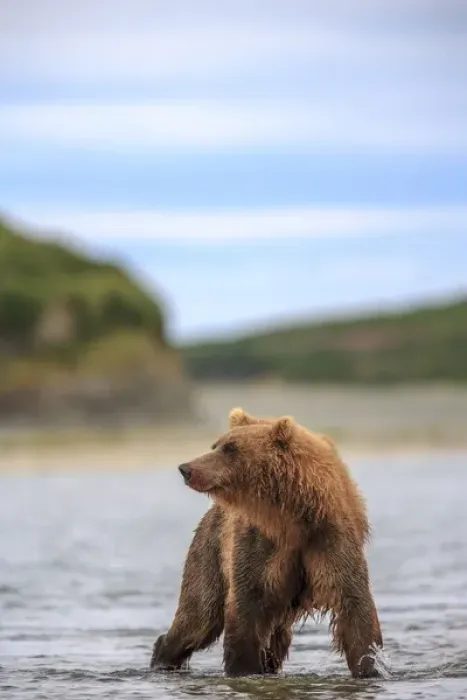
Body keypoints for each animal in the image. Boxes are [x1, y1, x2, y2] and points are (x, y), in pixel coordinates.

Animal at [151, 408, 383, 679]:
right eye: (216, 445)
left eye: (231, 448)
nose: (186, 468)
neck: (291, 519)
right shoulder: (259, 546)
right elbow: (246, 606)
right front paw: (244, 668)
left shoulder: (328, 540)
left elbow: (354, 605)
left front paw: (371, 668)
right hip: (210, 552)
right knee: (198, 616)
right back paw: (163, 658)